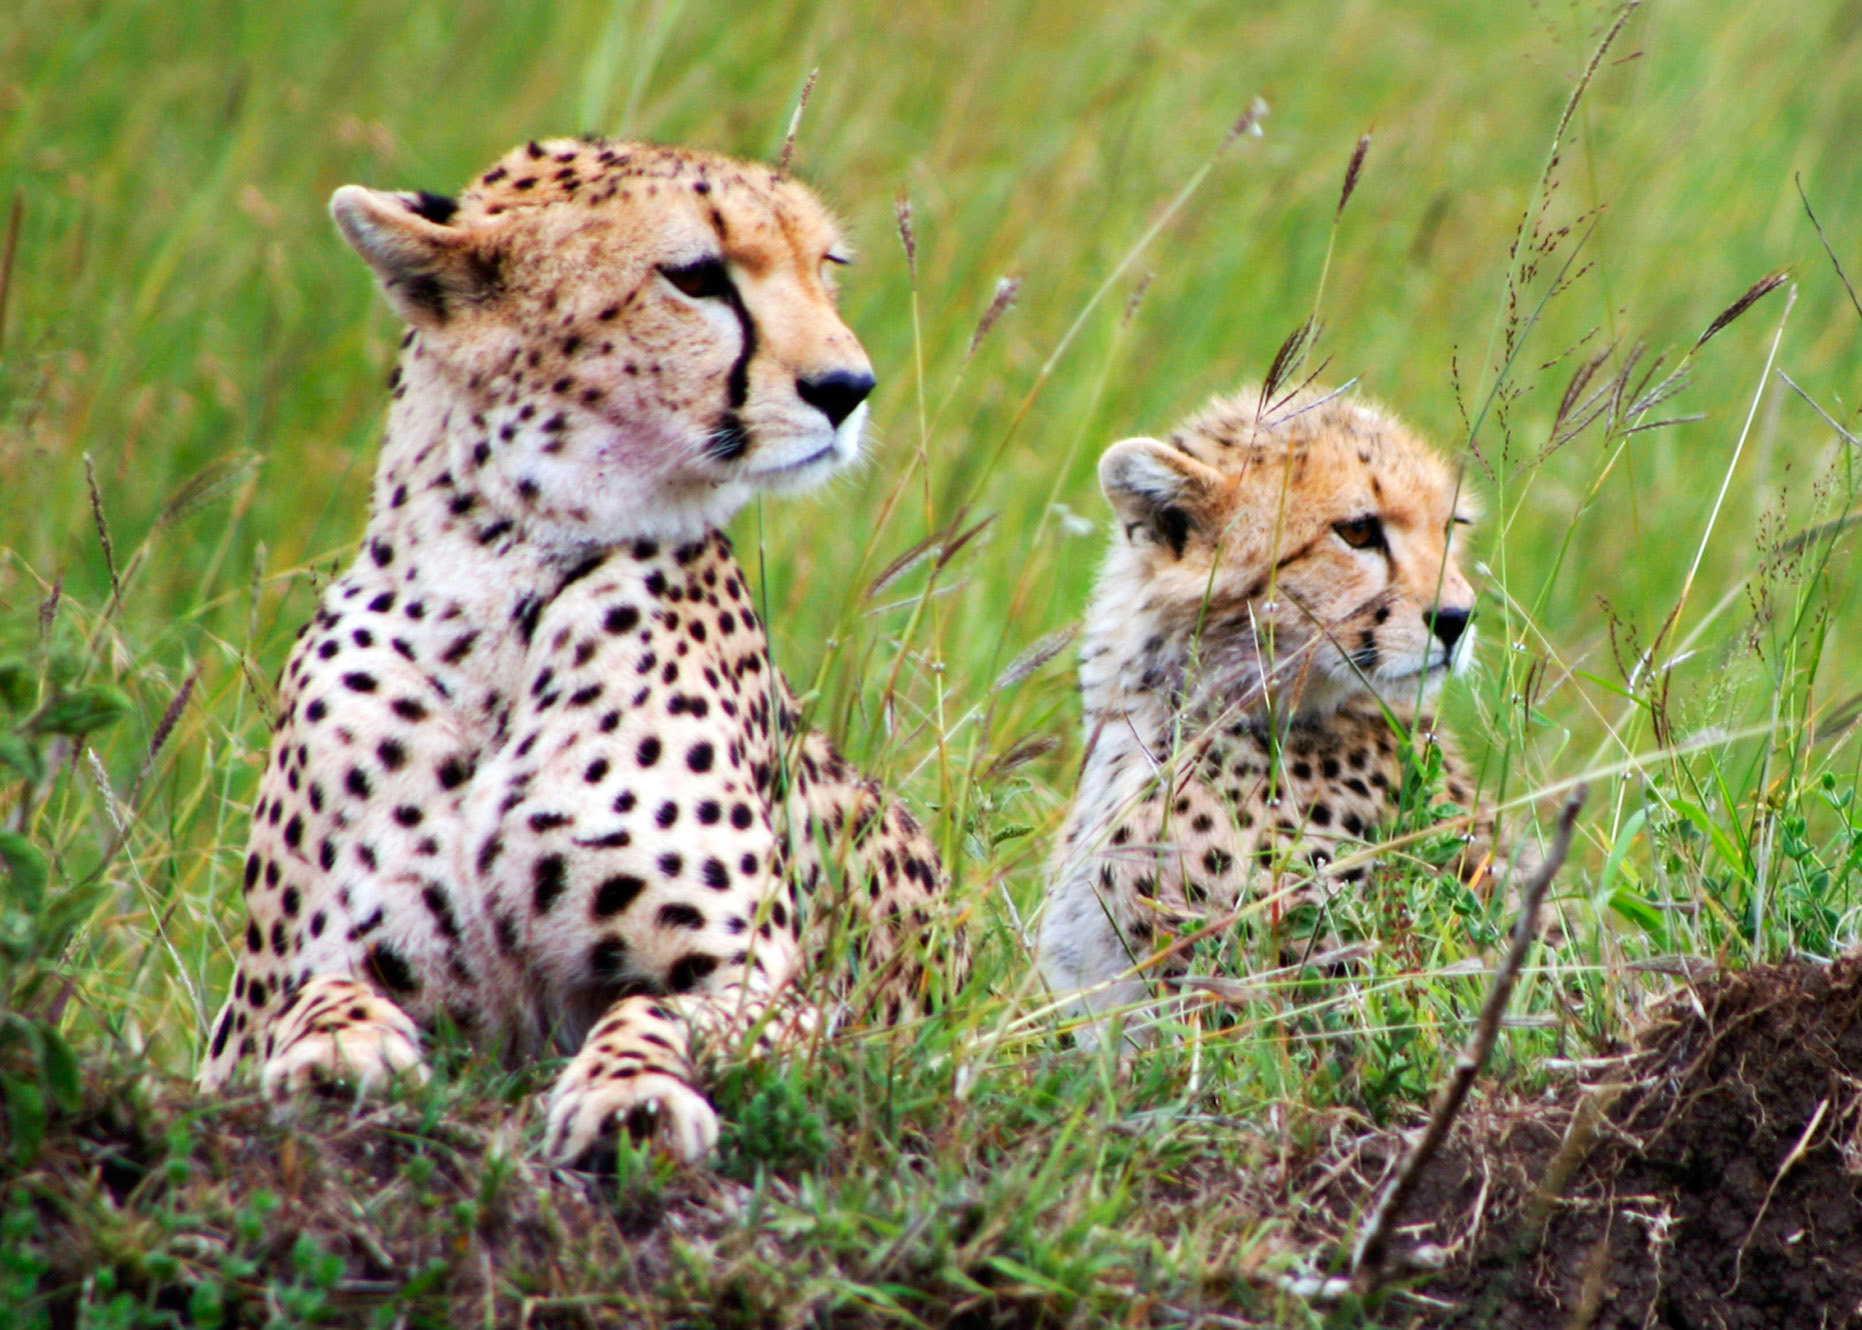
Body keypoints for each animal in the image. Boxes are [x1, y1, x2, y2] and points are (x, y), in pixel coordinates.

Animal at [198, 137, 960, 1165]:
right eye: (697, 276)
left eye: (825, 267)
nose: (848, 390)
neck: (501, 571)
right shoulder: (257, 1006)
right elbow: (316, 994)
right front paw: (337, 1054)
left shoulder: (777, 994)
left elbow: (650, 1012)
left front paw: (633, 1099)